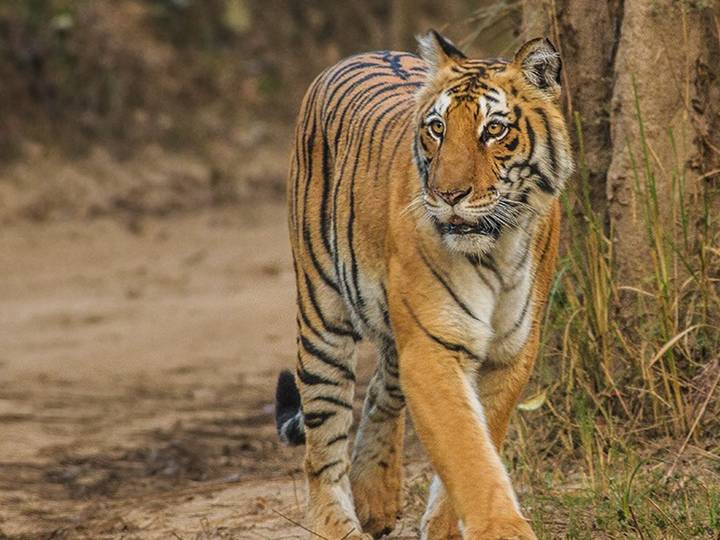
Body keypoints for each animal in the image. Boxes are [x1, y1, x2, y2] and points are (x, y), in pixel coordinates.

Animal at [274, 30, 572, 540]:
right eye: (437, 128)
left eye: (494, 130)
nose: (448, 194)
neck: (498, 247)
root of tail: (360, 53)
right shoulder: (433, 348)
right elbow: (467, 451)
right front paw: (501, 529)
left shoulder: (511, 351)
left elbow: (481, 438)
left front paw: (445, 527)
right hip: (322, 314)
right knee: (322, 445)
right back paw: (340, 523)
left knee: (380, 388)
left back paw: (375, 496)